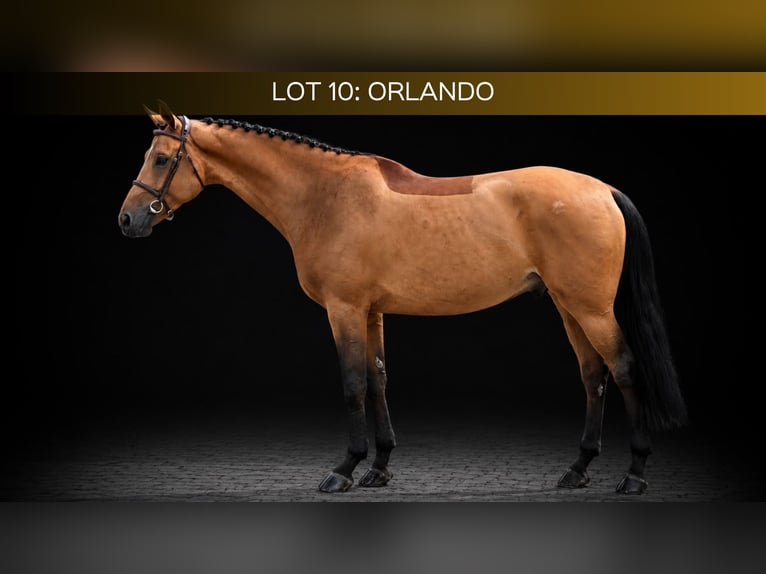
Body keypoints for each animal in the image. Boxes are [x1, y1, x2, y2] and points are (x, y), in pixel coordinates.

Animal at [118, 101, 688, 495]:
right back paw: (577, 469)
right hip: (569, 307)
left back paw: (634, 475)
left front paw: (343, 470)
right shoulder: (371, 312)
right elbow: (377, 381)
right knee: (593, 377)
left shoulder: (344, 309)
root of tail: (603, 189)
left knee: (624, 369)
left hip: (591, 308)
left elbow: (352, 384)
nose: (127, 220)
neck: (324, 197)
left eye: (162, 158)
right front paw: (378, 468)